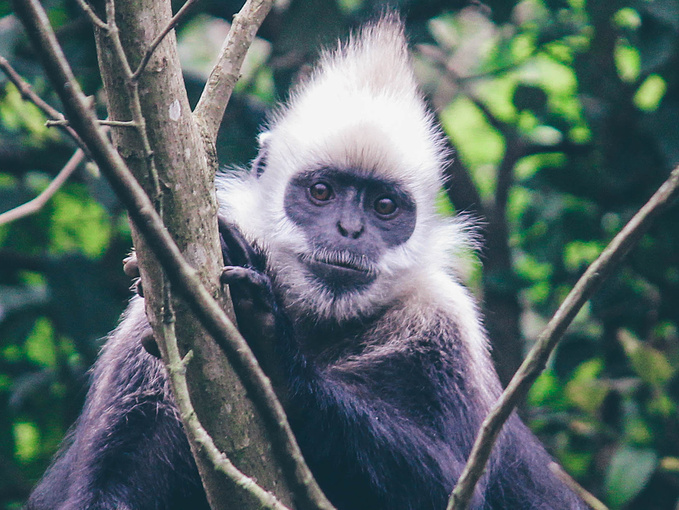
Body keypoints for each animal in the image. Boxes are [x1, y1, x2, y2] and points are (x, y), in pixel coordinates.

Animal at [26, 13, 588, 508]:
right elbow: (111, 491)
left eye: (384, 207)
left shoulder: (445, 325)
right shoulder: (136, 342)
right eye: (322, 192)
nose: (350, 231)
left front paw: (269, 344)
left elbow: (444, 487)